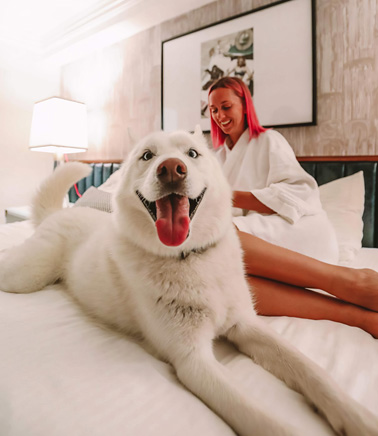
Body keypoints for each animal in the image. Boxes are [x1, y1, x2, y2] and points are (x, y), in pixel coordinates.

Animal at [0, 127, 378, 436]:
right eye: (147, 156)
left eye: (192, 154)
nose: (171, 168)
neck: (190, 258)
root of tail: (60, 213)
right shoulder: (193, 361)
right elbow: (263, 418)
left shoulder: (247, 326)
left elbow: (313, 373)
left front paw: (358, 419)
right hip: (26, 275)